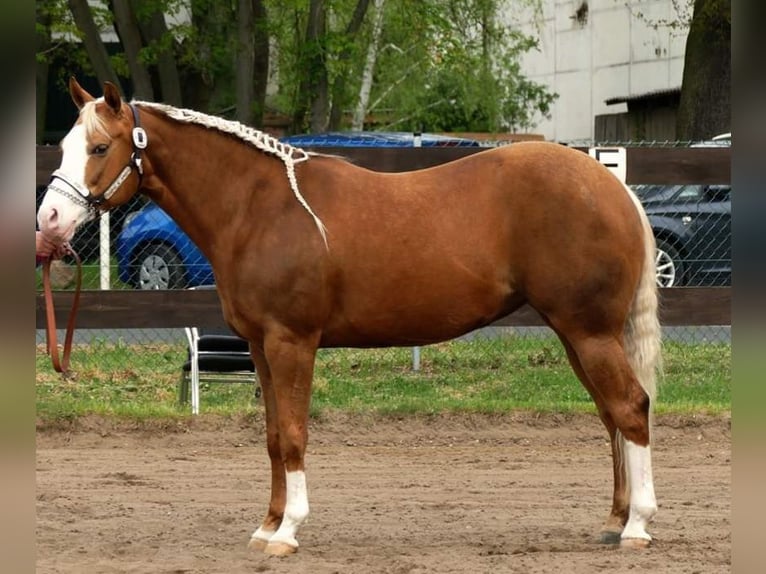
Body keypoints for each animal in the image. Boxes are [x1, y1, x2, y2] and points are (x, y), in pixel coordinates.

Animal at [36, 80, 664, 560]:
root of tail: (613, 187)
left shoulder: (292, 343)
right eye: (65, 144)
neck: (259, 207)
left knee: (631, 408)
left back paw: (637, 526)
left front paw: (288, 532)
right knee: (611, 416)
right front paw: (266, 525)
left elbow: (293, 435)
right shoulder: (260, 348)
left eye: (99, 147)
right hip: (578, 335)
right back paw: (615, 519)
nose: (50, 221)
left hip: (588, 332)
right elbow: (272, 437)